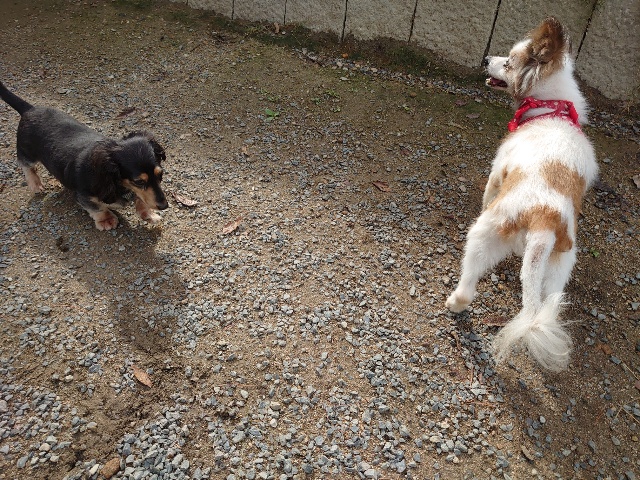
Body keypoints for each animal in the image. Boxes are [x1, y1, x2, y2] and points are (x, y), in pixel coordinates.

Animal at [0, 81, 168, 230]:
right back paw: (35, 184)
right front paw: (106, 220)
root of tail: (30, 109)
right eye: (139, 181)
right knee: (25, 165)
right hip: (27, 152)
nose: (164, 206)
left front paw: (149, 214)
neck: (112, 179)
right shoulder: (84, 195)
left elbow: (140, 199)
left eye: (160, 174)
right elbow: (97, 208)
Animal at [445, 17, 598, 371]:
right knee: (547, 301)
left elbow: (487, 193)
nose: (486, 58)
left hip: (485, 232)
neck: (551, 110)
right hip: (558, 267)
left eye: (509, 63)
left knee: (468, 283)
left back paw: (454, 302)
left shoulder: (496, 172)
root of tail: (545, 217)